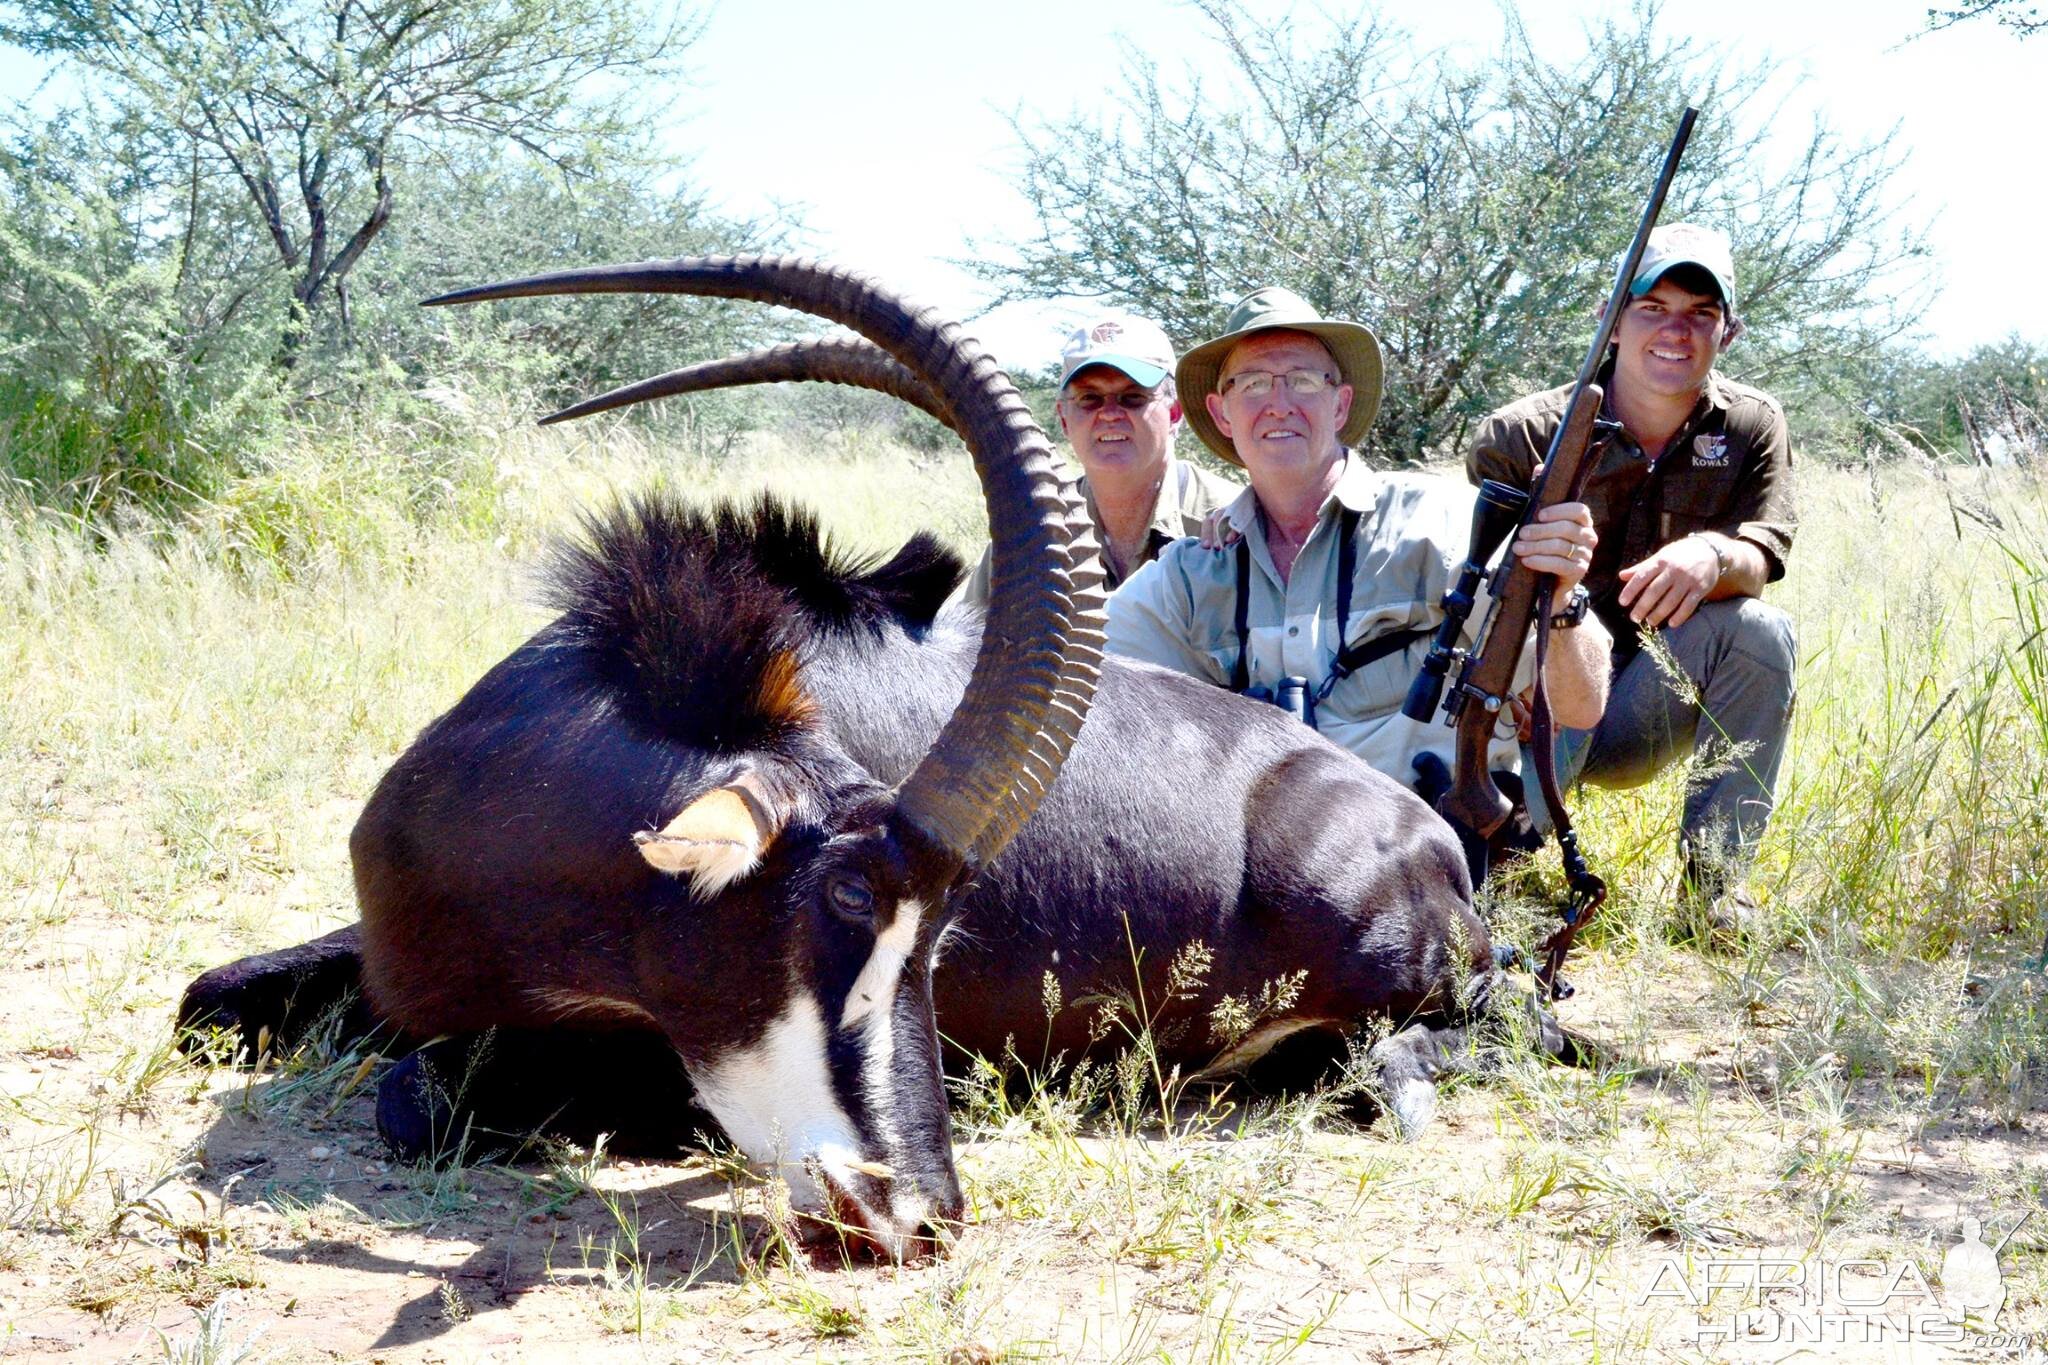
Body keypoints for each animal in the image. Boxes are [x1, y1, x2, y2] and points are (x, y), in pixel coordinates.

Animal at [176, 253, 1523, 1260]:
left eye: (940, 935)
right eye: (846, 896)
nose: (922, 1212)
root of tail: (1427, 832)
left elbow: (418, 1095)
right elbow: (207, 1003)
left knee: (1483, 1019)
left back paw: (1398, 1072)